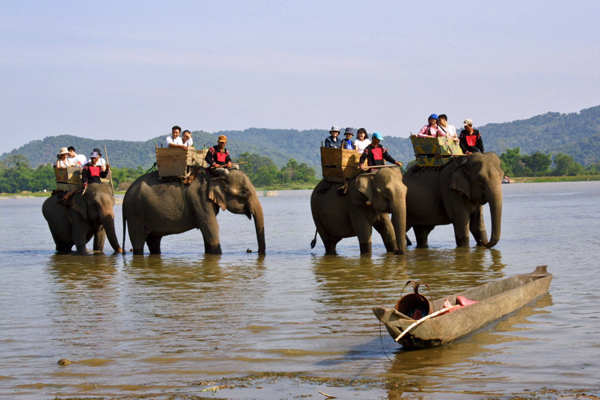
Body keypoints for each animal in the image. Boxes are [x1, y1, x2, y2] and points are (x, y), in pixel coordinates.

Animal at [122, 170, 264, 256]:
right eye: (245, 192)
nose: (252, 251)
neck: (214, 175)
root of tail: (124, 197)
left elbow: (206, 231)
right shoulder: (200, 200)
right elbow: (211, 227)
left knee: (154, 241)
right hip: (135, 213)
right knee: (138, 241)